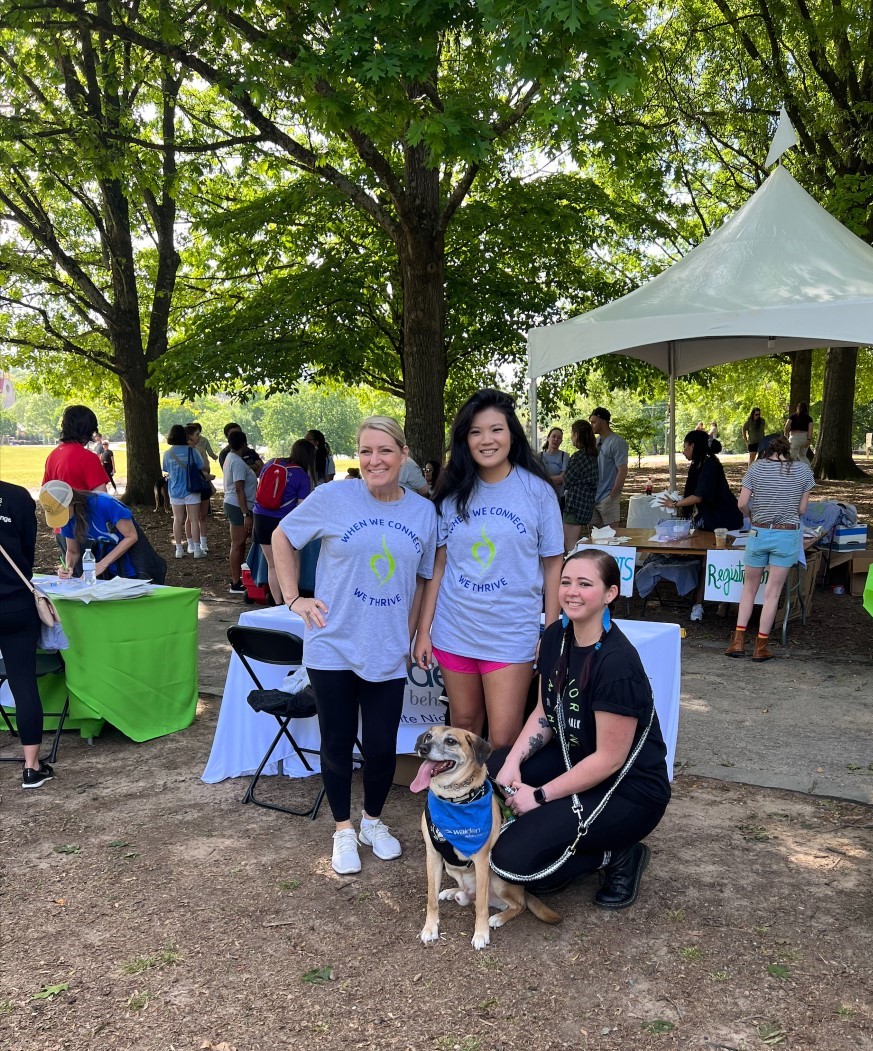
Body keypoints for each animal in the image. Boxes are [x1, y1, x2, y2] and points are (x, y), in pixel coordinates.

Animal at [409, 727, 558, 950]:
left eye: (451, 741)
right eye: (428, 736)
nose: (423, 748)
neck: (453, 800)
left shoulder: (481, 860)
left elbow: (480, 906)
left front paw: (480, 934)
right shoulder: (433, 855)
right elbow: (431, 899)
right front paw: (430, 928)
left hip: (497, 877)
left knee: (517, 905)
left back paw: (498, 918)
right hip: (451, 869)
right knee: (469, 894)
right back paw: (452, 892)